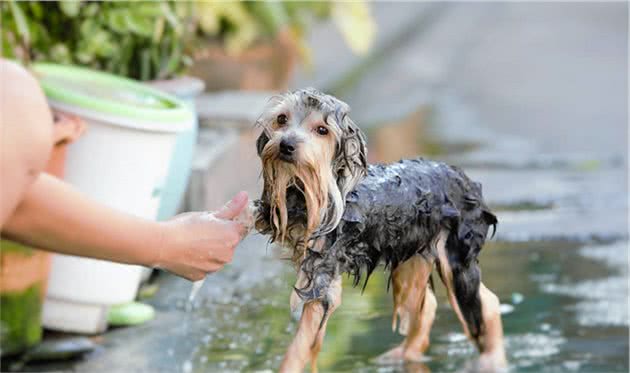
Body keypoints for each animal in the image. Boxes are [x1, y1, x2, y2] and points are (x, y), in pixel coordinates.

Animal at [254, 88, 506, 370]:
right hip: (412, 253)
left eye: (322, 130)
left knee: (486, 304)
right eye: (281, 119)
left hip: (456, 260)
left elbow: (298, 348)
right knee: (426, 306)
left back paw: (491, 360)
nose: (286, 144)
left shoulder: (322, 276)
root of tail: (464, 177)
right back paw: (404, 355)